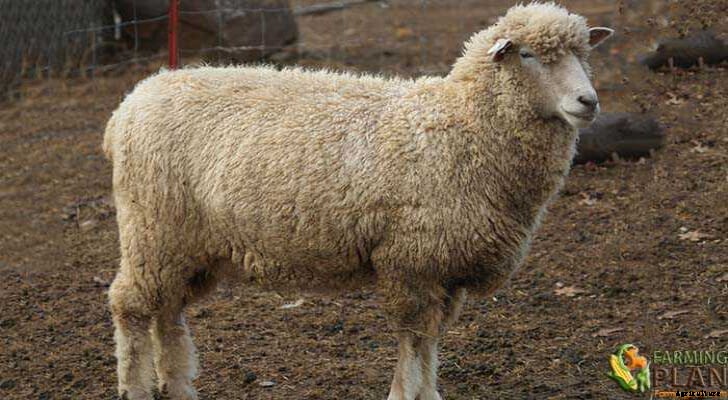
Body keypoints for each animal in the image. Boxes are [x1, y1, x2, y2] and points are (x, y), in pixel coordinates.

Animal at [103, 3, 612, 399]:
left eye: (583, 54)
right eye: (527, 55)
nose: (588, 101)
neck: (463, 126)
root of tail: (133, 99)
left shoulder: (445, 268)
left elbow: (431, 340)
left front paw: (429, 391)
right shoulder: (412, 261)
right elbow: (414, 338)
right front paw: (406, 392)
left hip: (187, 245)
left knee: (168, 313)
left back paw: (178, 386)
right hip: (152, 228)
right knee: (131, 306)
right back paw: (135, 387)